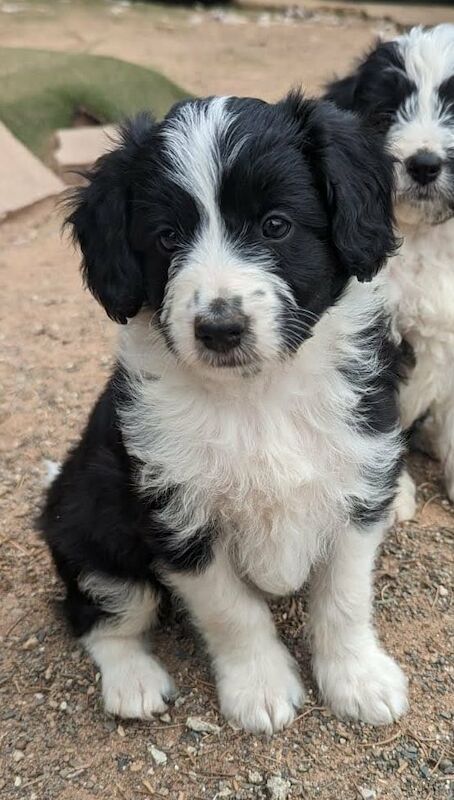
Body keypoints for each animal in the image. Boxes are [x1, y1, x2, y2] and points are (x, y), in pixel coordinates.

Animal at [39, 90, 408, 736]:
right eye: (166, 238)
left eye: (275, 225)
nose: (218, 328)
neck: (257, 398)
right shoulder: (177, 515)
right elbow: (232, 610)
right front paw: (260, 688)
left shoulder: (360, 481)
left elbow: (344, 595)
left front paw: (358, 679)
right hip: (92, 529)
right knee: (98, 616)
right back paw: (133, 682)